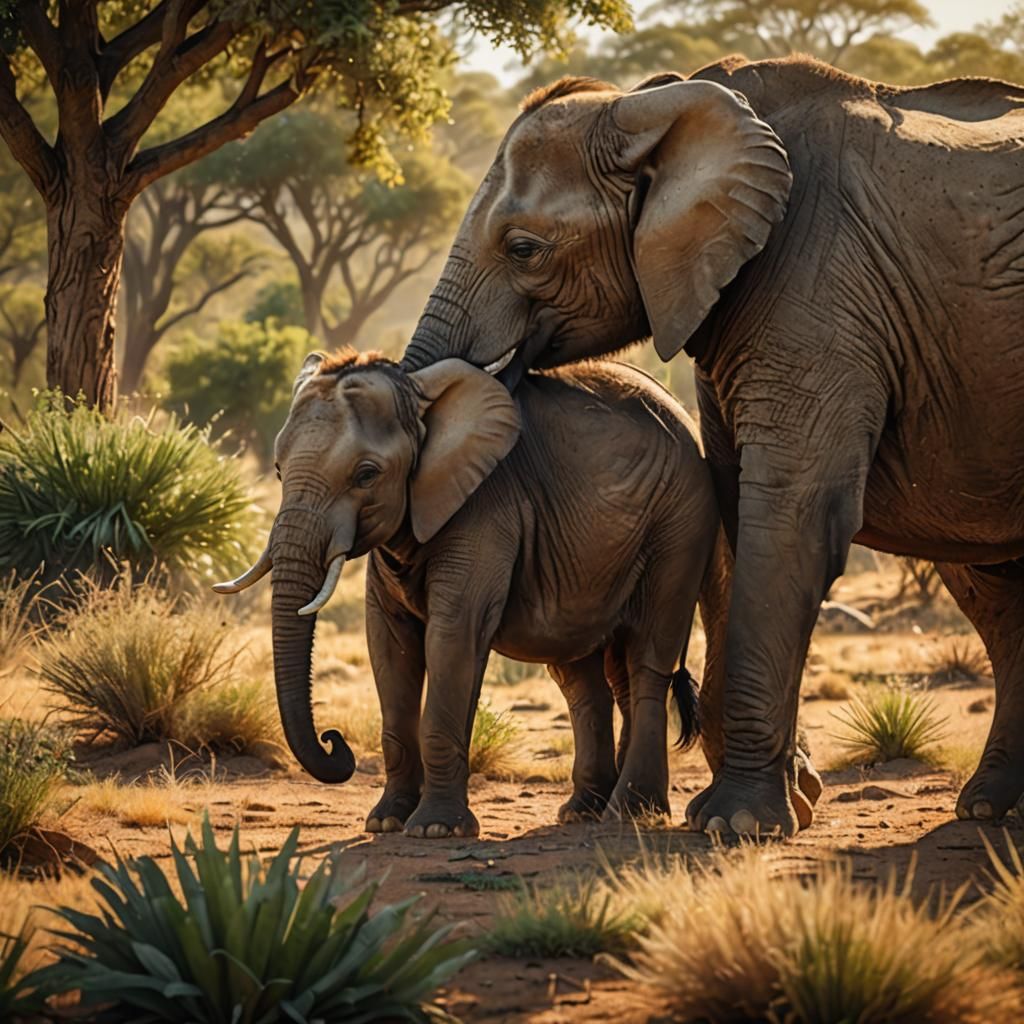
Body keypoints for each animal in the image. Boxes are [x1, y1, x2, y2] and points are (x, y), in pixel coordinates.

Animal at [215, 349, 726, 837]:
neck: (422, 404)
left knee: (647, 659)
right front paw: (386, 822)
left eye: (366, 475)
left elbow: (453, 633)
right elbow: (389, 643)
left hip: (681, 525)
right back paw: (582, 811)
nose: (332, 740)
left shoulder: (484, 509)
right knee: (581, 676)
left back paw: (629, 814)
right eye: (278, 470)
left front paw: (435, 828)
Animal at [398, 57, 1024, 838]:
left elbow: (788, 517)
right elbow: (732, 522)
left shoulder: (820, 289)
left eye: (522, 248)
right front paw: (789, 800)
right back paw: (991, 805)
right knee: (992, 590)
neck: (662, 100)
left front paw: (738, 823)